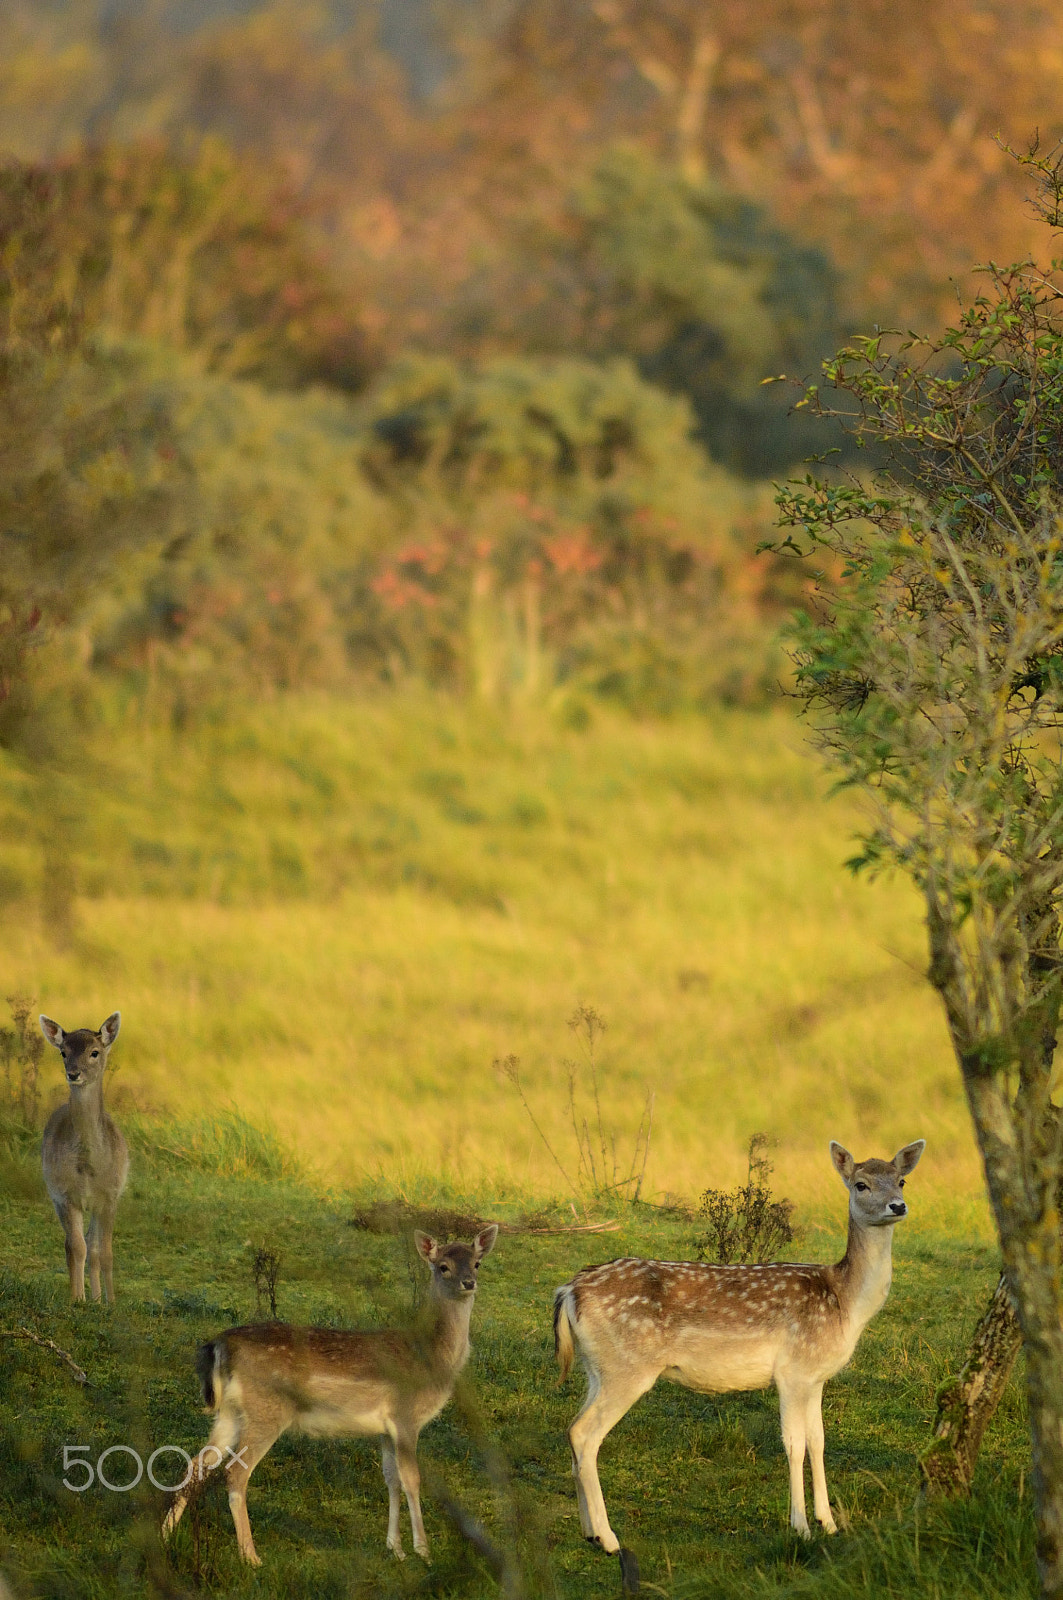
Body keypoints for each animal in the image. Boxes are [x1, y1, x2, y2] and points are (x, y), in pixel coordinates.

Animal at [39, 1011, 128, 1299]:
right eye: (63, 1052)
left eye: (94, 1052)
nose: (73, 1073)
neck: (89, 1166)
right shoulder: (66, 1195)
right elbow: (77, 1248)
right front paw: (77, 1299)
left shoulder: (110, 1195)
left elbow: (105, 1253)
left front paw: (109, 1301)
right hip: (54, 1193)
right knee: (74, 1244)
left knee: (95, 1247)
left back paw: (98, 1299)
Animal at [160, 1222, 499, 1561]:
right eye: (443, 1266)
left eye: (477, 1263)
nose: (469, 1283)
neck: (432, 1358)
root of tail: (219, 1345)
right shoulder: (406, 1416)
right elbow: (412, 1480)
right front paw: (423, 1552)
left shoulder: (385, 1428)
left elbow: (391, 1479)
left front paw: (395, 1549)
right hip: (267, 1410)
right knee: (235, 1473)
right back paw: (251, 1557)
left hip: (230, 1412)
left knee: (197, 1463)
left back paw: (164, 1536)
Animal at [550, 1139, 928, 1548]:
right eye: (861, 1184)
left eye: (901, 1181)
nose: (898, 1206)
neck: (845, 1303)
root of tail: (569, 1291)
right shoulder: (793, 1370)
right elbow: (794, 1444)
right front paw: (801, 1527)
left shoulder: (815, 1376)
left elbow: (818, 1442)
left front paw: (828, 1522)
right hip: (628, 1367)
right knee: (584, 1434)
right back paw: (609, 1538)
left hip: (597, 1368)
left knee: (573, 1430)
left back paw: (589, 1531)